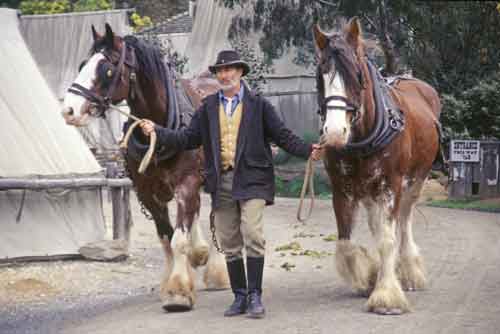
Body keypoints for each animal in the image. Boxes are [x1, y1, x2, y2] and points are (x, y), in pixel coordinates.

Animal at [61, 24, 230, 312]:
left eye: (106, 69)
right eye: (83, 64)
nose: (68, 109)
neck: (160, 130)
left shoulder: (187, 182)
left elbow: (178, 239)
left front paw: (179, 292)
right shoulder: (147, 192)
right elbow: (166, 238)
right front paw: (172, 283)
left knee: (216, 215)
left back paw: (217, 271)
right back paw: (199, 253)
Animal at [314, 17, 440, 316]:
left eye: (357, 74)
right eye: (320, 75)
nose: (333, 133)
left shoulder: (391, 186)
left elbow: (387, 239)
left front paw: (386, 295)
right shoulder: (342, 189)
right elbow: (346, 240)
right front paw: (368, 278)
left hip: (414, 181)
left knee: (403, 222)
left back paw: (409, 271)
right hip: (369, 190)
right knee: (377, 225)